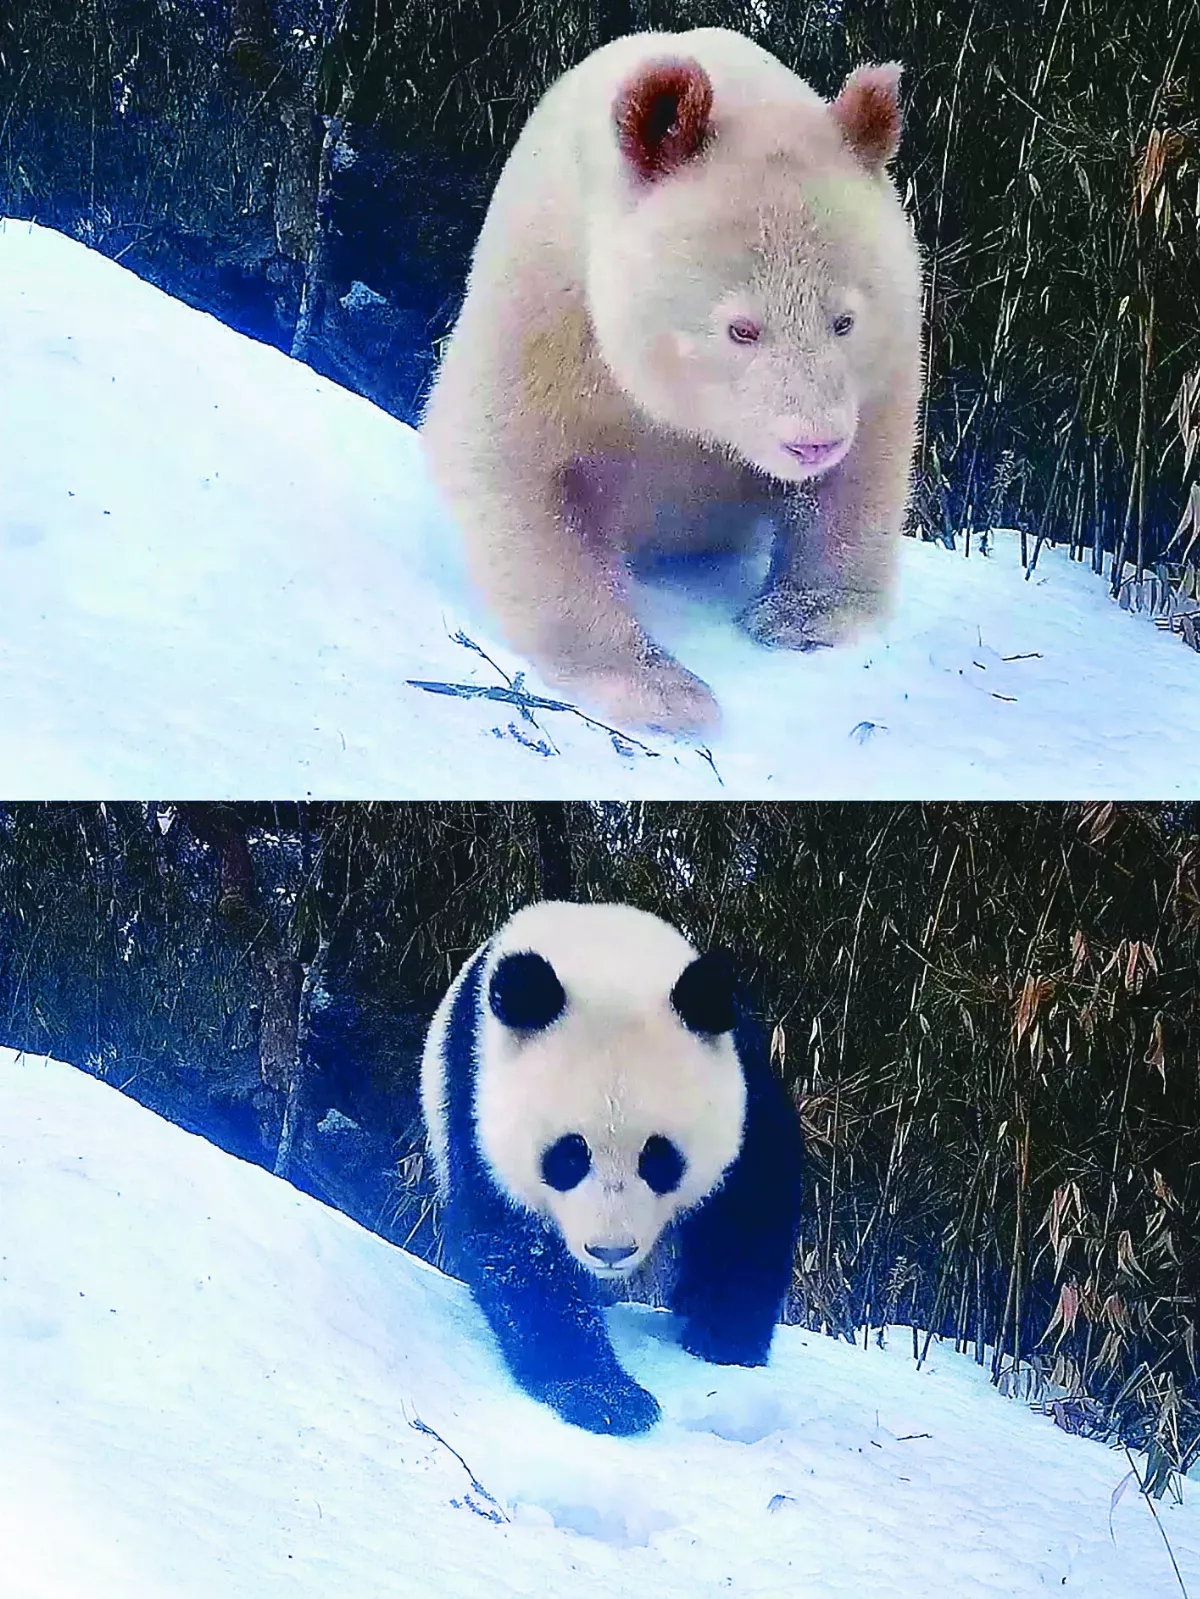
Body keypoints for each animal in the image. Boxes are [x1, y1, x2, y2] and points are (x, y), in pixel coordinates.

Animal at [419, 28, 924, 735]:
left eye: (844, 321)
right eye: (742, 329)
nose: (812, 444)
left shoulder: (885, 352)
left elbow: (865, 462)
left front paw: (803, 617)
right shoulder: (549, 301)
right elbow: (515, 464)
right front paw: (662, 689)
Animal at [419, 900, 805, 1435]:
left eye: (660, 1158)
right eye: (568, 1156)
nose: (610, 1251)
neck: (607, 958)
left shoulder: (744, 1085)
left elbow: (752, 1200)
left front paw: (726, 1341)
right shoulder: (476, 1101)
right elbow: (514, 1248)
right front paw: (606, 1398)